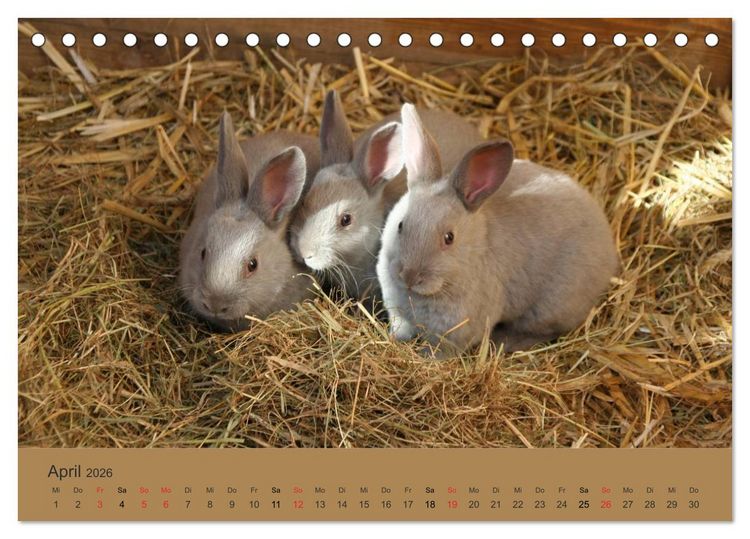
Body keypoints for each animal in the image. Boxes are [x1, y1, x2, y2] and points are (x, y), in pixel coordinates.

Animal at [377, 104, 619, 357]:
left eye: (449, 238)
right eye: (401, 225)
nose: (409, 276)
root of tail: (609, 252)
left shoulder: (454, 334)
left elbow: (439, 351)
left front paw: (424, 357)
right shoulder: (399, 315)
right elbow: (401, 328)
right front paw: (395, 340)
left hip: (550, 309)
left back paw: (504, 341)